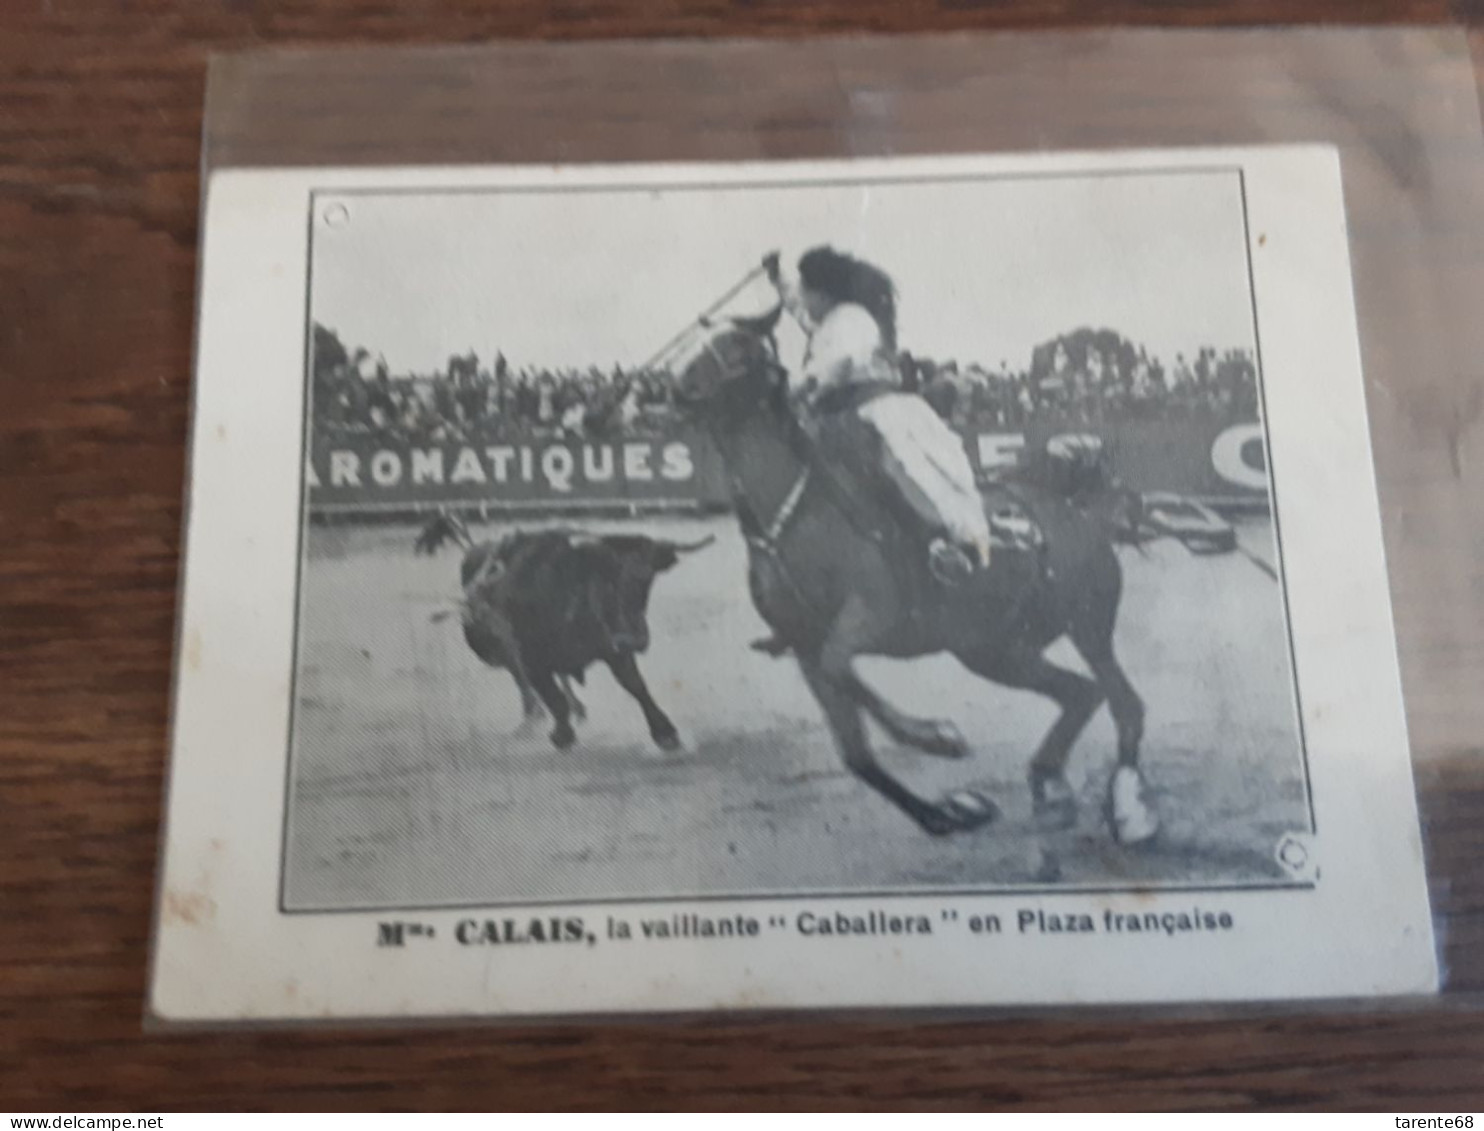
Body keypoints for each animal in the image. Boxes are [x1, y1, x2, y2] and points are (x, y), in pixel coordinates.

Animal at [412, 516, 712, 748]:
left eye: (647, 581)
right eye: (605, 579)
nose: (634, 639)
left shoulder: (614, 650)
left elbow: (637, 687)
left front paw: (665, 733)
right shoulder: (530, 656)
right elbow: (551, 695)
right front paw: (562, 734)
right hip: (501, 650)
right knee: (525, 682)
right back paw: (534, 717)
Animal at [673, 304, 1157, 843]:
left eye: (736, 343)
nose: (670, 386)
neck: (794, 514)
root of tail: (1081, 512)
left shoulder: (869, 615)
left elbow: (841, 666)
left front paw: (937, 737)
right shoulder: (803, 644)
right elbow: (856, 753)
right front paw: (947, 813)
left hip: (1086, 627)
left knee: (1123, 703)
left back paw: (1129, 809)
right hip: (995, 650)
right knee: (1082, 693)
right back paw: (1049, 785)